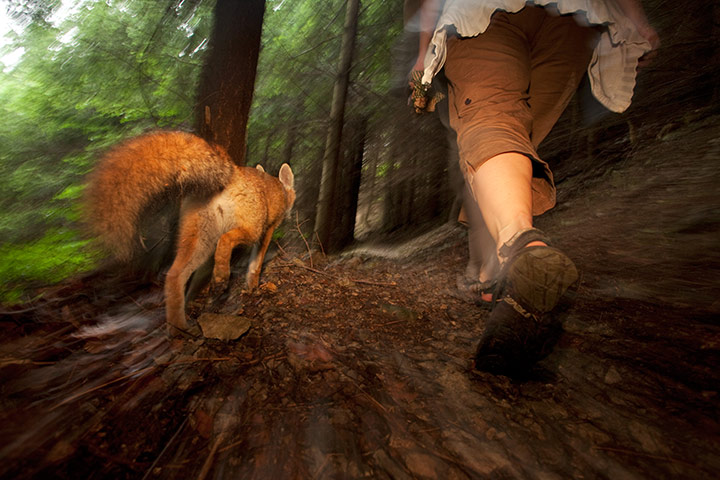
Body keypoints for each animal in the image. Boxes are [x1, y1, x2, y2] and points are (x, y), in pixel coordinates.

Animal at [85, 131, 295, 331]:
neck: (280, 191)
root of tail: (233, 172)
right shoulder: (267, 230)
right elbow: (256, 265)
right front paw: (252, 286)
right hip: (248, 231)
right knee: (225, 240)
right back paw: (220, 277)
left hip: (200, 243)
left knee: (174, 277)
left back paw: (178, 329)